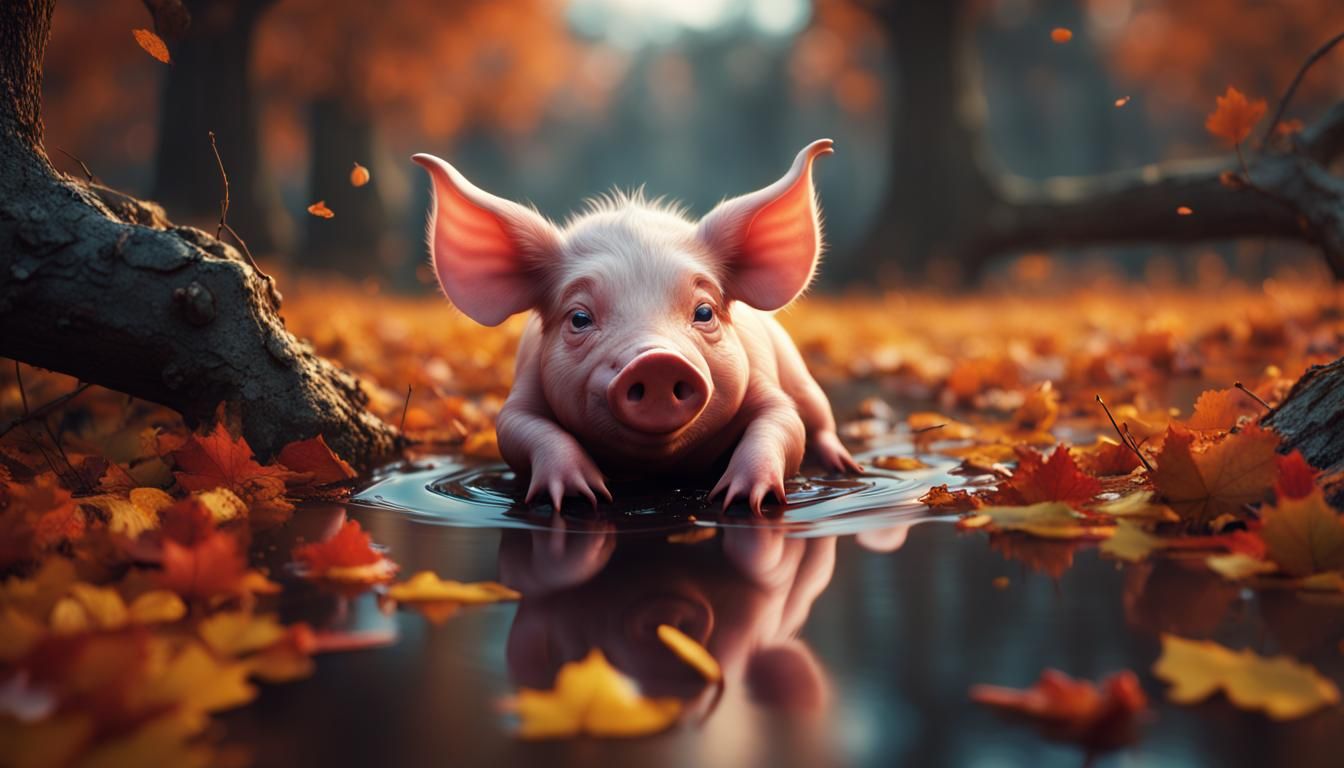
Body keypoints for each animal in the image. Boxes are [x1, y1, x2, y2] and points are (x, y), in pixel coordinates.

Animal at [412, 140, 860, 515]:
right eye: (579, 318)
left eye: (704, 312)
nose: (657, 361)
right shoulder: (523, 395)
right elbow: (520, 430)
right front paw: (583, 497)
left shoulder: (762, 381)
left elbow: (783, 423)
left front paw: (740, 500)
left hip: (798, 371)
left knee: (817, 418)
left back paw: (846, 467)